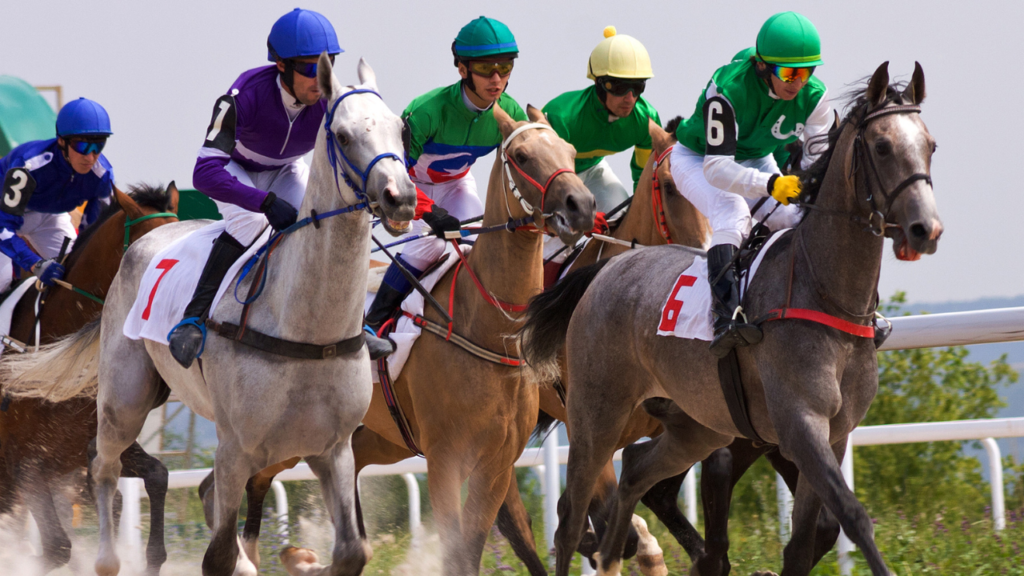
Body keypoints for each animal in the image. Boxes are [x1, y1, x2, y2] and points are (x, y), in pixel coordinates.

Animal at [524, 62, 937, 573]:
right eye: (881, 146)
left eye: (930, 145)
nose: (925, 229)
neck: (826, 293)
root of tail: (609, 268)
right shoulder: (800, 425)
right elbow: (853, 517)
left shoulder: (833, 433)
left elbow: (806, 539)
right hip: (596, 416)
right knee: (569, 517)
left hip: (694, 426)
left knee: (636, 474)